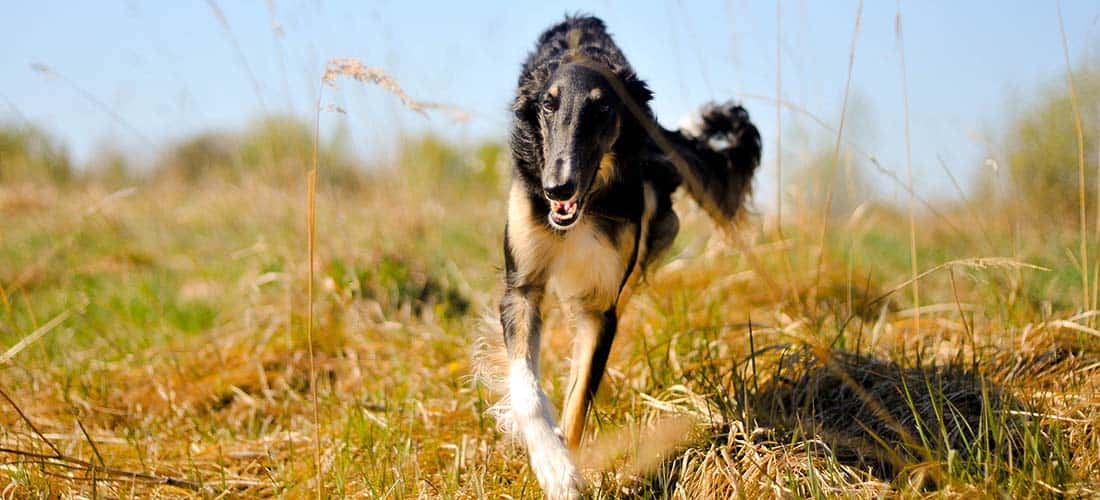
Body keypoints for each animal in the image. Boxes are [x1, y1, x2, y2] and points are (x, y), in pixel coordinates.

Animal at [497, 14, 756, 496]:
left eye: (601, 110)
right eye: (547, 106)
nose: (556, 188)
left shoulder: (601, 306)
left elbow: (578, 404)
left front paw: (566, 467)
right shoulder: (521, 287)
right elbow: (526, 388)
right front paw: (552, 463)